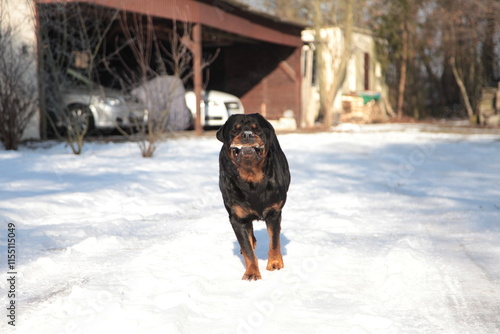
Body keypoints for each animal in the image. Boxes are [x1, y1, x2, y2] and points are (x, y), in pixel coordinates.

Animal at [217, 112, 292, 280]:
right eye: (235, 130)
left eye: (257, 129)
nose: (246, 134)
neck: (251, 179)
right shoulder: (237, 218)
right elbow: (248, 250)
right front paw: (252, 272)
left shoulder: (274, 212)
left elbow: (274, 241)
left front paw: (275, 263)